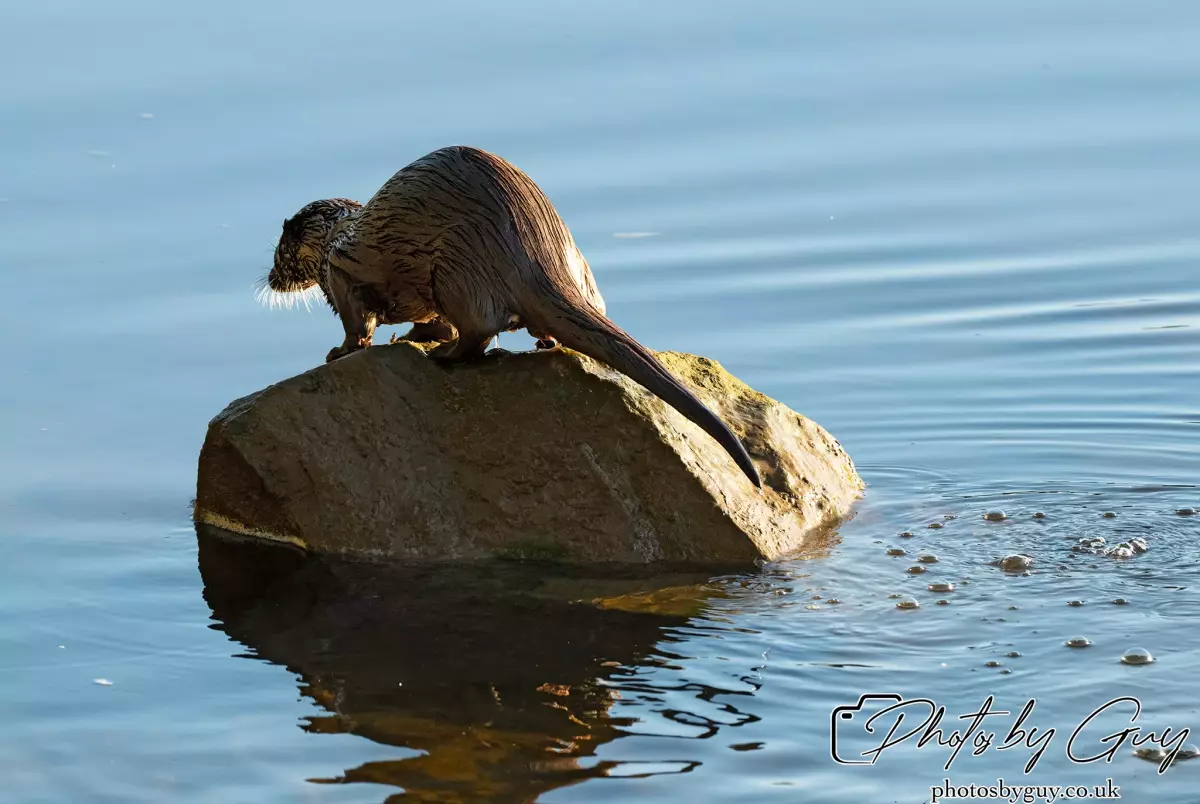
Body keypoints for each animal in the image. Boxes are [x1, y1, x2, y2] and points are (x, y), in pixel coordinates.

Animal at [264, 145, 761, 487]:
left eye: (278, 253)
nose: (269, 278)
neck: (337, 236)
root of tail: (534, 248)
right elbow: (425, 319)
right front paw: (410, 335)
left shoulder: (342, 270)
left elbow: (357, 323)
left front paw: (343, 350)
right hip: (573, 265)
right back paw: (541, 342)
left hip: (454, 270)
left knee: (478, 330)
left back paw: (445, 356)